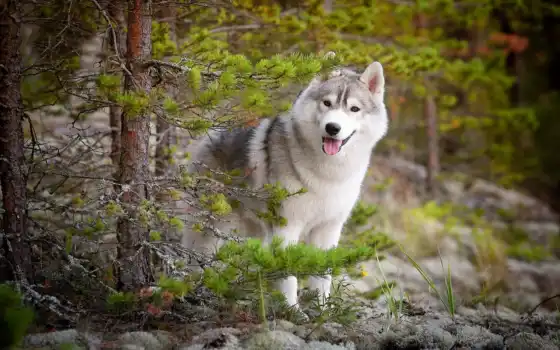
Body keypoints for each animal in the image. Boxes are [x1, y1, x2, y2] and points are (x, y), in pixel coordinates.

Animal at [184, 60, 390, 308]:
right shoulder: (287, 227)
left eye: (354, 109)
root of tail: (211, 134)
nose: (332, 128)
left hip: (256, 233)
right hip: (210, 231)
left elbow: (322, 278)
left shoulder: (328, 230)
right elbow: (288, 278)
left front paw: (322, 311)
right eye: (327, 103)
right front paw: (292, 310)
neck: (329, 173)